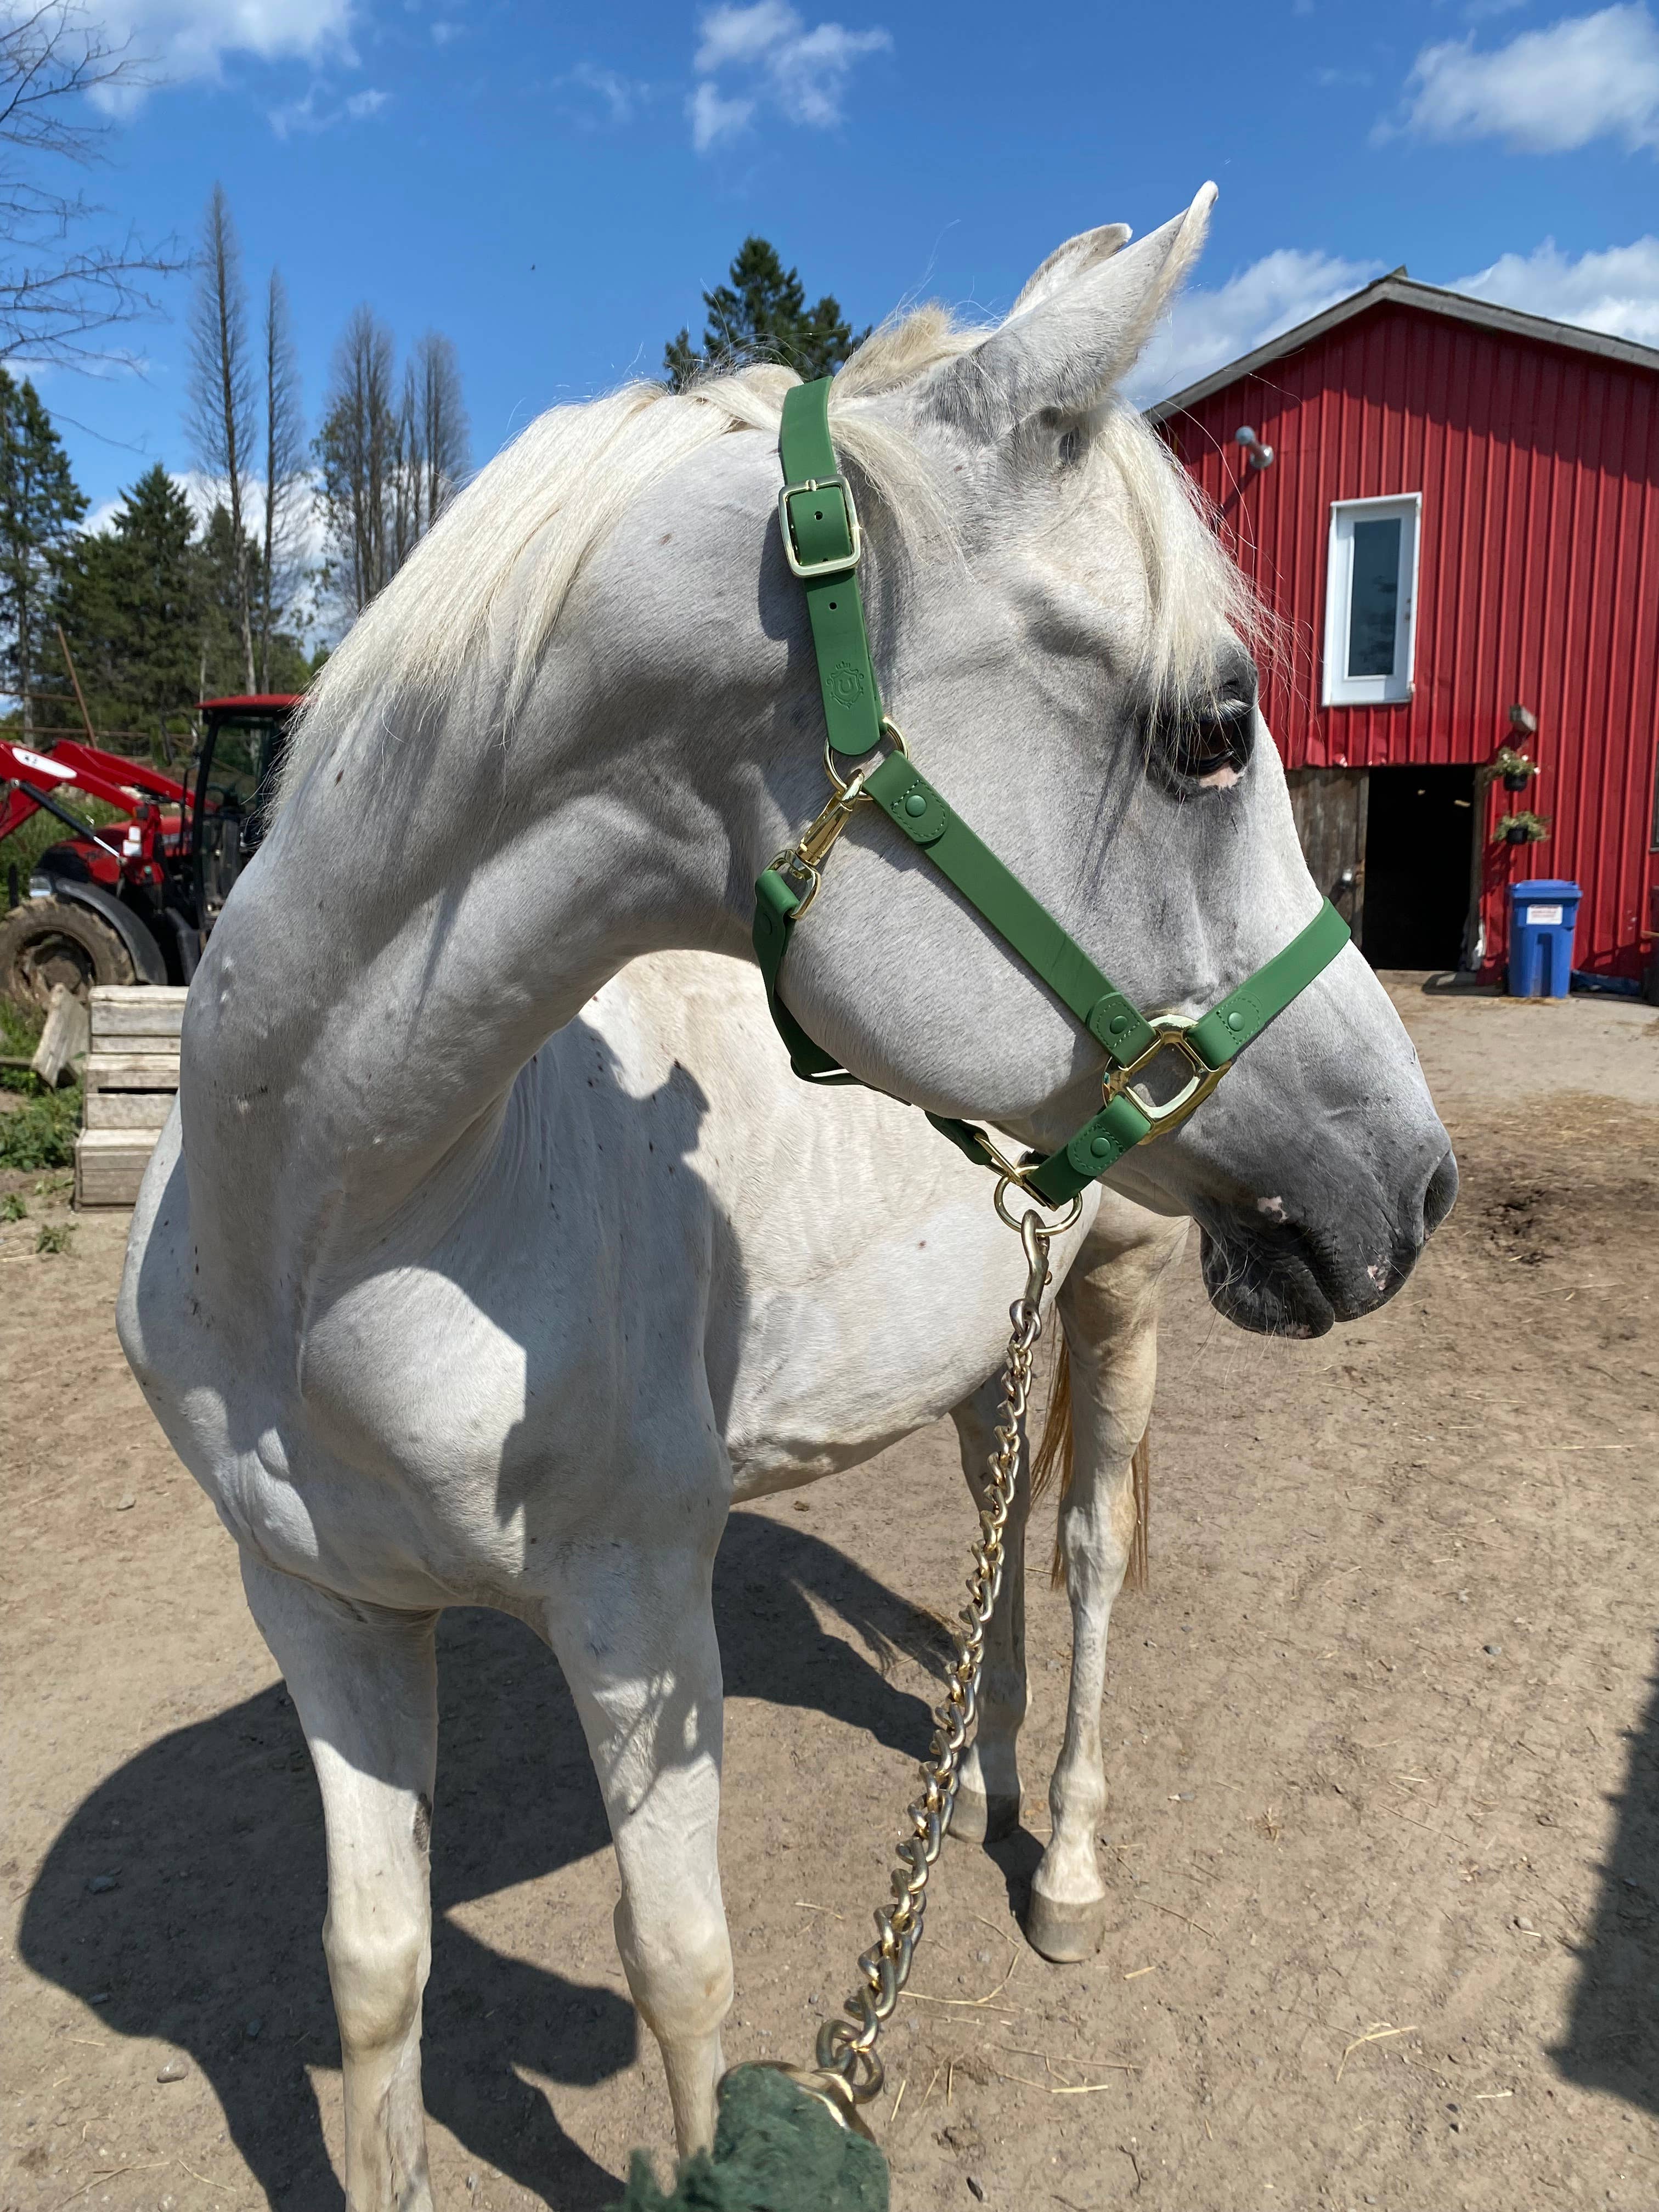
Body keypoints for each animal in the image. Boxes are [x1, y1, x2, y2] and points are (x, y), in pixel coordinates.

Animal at [117, 187, 1456, 2206]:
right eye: (1213, 731)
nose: (1415, 1182)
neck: (332, 1222)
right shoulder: (319, 1607)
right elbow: (373, 1974)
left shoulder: (633, 1609)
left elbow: (680, 1973)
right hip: (996, 1326)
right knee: (1000, 1525)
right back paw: (971, 1791)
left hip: (1129, 1282)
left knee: (1083, 1554)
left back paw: (1062, 1863)